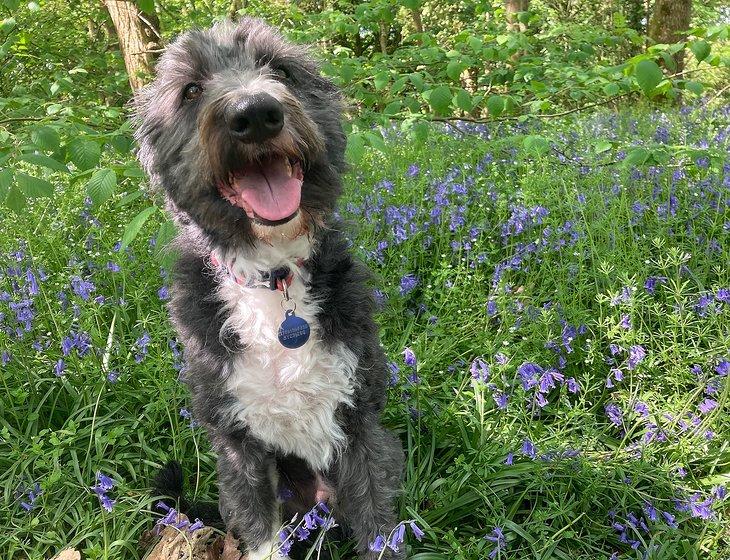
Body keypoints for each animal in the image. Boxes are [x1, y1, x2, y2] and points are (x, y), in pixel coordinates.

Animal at [132, 17, 404, 560]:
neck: (271, 277)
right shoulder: (240, 448)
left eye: (279, 68)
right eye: (190, 90)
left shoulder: (361, 426)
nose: (255, 113)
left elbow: (377, 524)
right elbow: (259, 532)